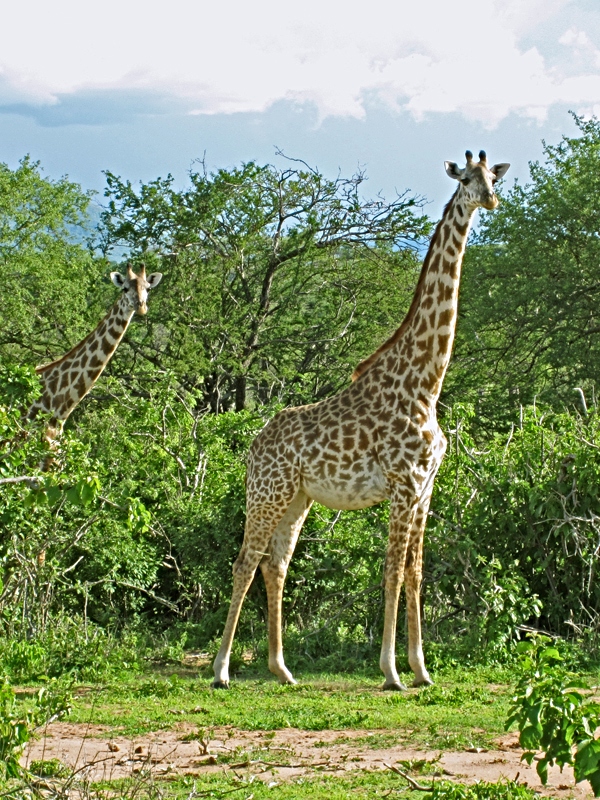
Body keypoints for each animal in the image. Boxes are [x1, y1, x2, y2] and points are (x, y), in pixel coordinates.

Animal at [213, 153, 508, 692]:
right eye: (465, 179)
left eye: (493, 177)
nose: (490, 199)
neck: (426, 382)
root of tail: (253, 446)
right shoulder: (403, 485)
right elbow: (391, 572)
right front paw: (391, 672)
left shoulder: (425, 488)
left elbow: (415, 572)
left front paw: (422, 670)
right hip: (267, 494)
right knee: (245, 563)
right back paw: (222, 669)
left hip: (297, 499)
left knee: (275, 565)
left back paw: (282, 669)